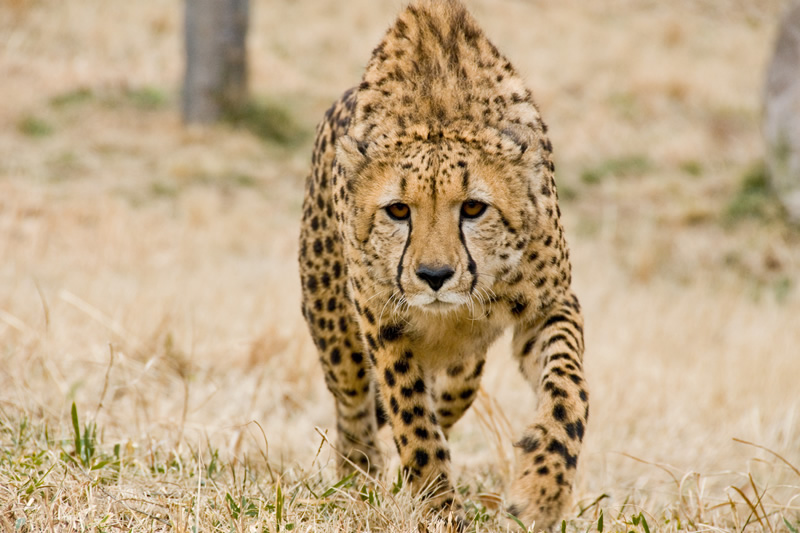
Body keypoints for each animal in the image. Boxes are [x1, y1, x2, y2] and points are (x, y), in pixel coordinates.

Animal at [296, 0, 584, 524]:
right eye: (397, 210)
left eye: (473, 208)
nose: (434, 277)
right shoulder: (382, 322)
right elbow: (412, 419)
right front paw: (437, 506)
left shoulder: (550, 306)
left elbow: (567, 392)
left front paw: (543, 489)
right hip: (335, 330)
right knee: (353, 406)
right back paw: (356, 479)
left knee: (458, 387)